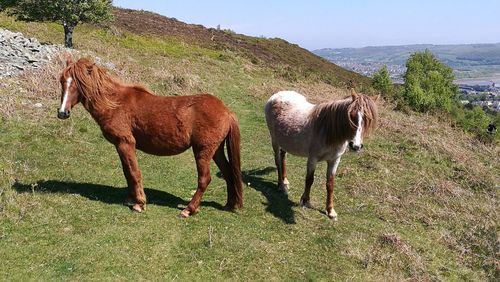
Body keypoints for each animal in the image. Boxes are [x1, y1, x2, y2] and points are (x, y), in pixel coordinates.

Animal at [57, 58, 243, 217]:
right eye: (62, 81)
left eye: (78, 83)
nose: (62, 113)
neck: (115, 104)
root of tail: (226, 111)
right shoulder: (120, 146)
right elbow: (127, 172)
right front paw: (130, 198)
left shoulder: (126, 143)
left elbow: (134, 172)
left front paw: (140, 203)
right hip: (216, 151)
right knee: (228, 173)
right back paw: (229, 205)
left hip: (203, 151)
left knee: (204, 179)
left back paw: (189, 209)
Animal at [264, 90, 376, 220]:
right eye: (351, 116)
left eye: (368, 120)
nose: (356, 146)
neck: (329, 131)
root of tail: (277, 95)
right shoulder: (313, 158)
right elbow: (309, 179)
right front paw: (305, 201)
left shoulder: (335, 160)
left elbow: (330, 184)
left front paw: (330, 211)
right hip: (275, 141)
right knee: (277, 161)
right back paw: (281, 185)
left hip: (284, 141)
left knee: (283, 158)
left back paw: (285, 181)